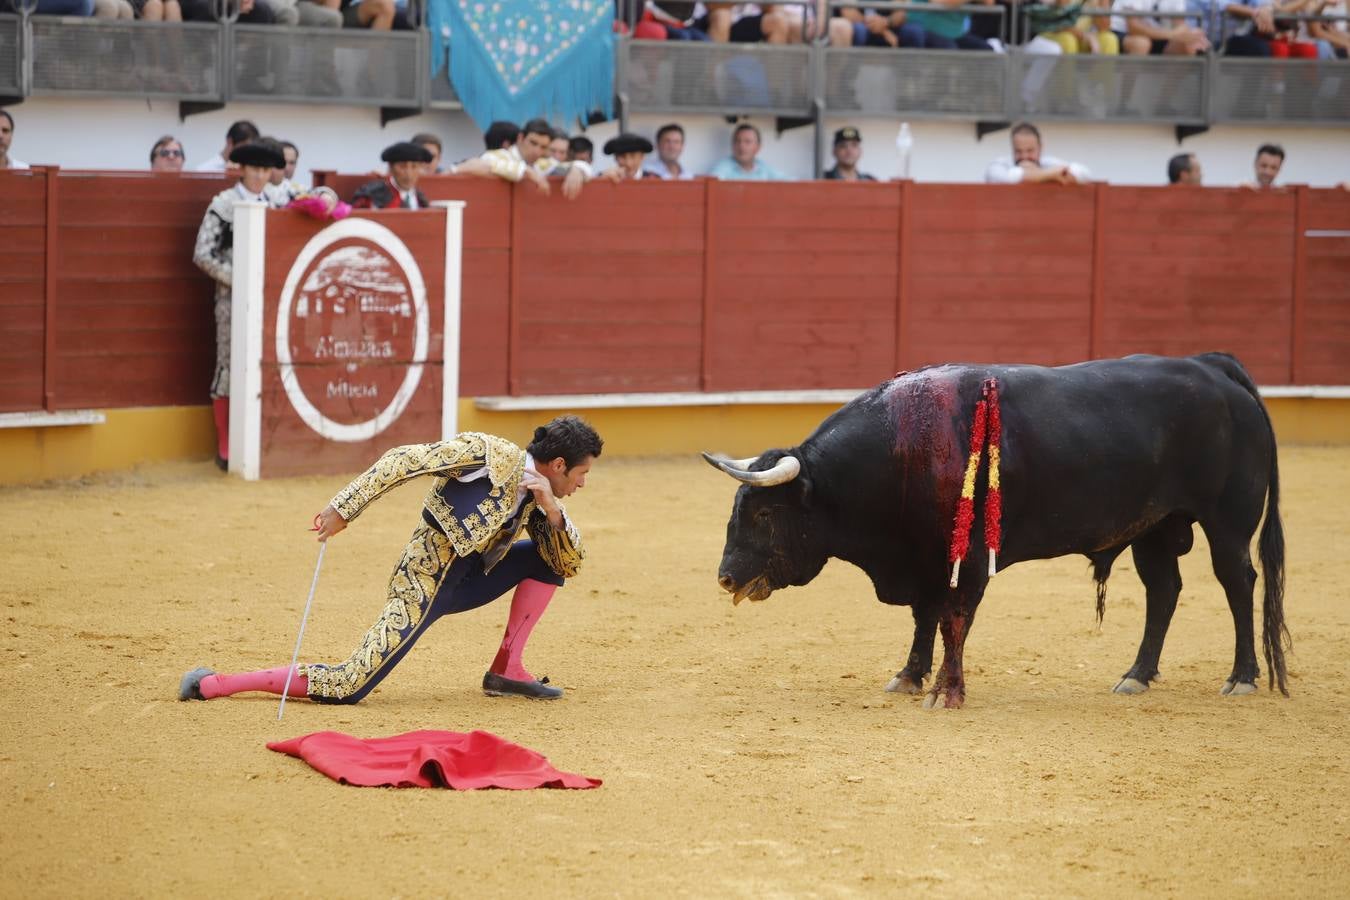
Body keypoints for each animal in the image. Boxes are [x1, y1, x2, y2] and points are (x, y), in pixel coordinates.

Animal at [707, 350, 1285, 712]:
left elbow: (954, 619)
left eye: (764, 514)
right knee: (1163, 590)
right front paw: (910, 677)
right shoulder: (924, 560)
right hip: (1157, 528)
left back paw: (1242, 677)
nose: (726, 578)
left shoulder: (964, 561)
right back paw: (1135, 676)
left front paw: (947, 692)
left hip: (1226, 524)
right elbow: (925, 618)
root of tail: (1213, 367)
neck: (902, 448)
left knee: (1238, 583)